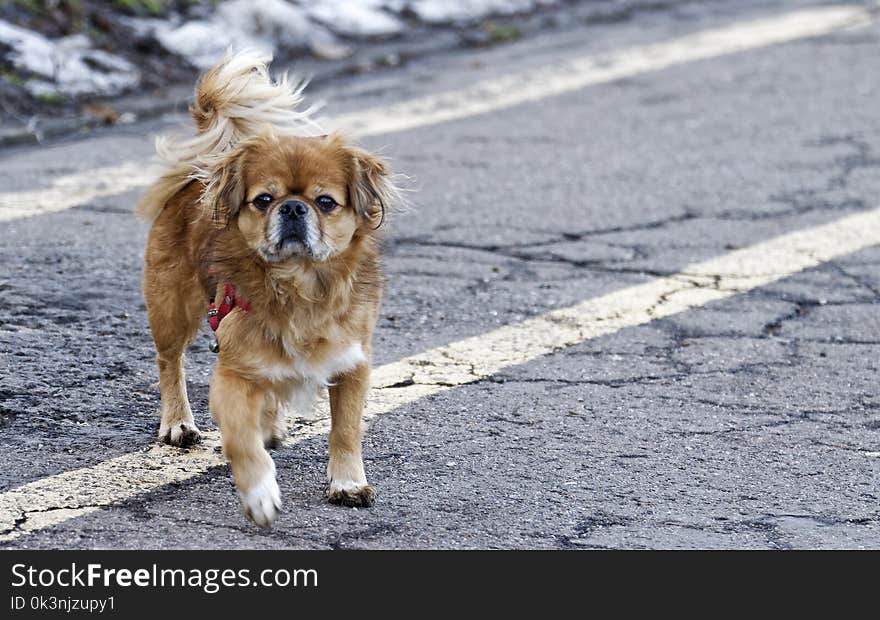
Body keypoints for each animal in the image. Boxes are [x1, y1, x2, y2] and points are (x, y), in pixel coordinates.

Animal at [138, 50, 398, 528]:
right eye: (263, 199)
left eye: (326, 202)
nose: (293, 208)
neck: (298, 287)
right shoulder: (232, 376)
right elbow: (241, 441)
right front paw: (259, 492)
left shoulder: (352, 365)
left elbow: (346, 429)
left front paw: (348, 482)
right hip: (171, 309)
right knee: (170, 362)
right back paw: (178, 423)